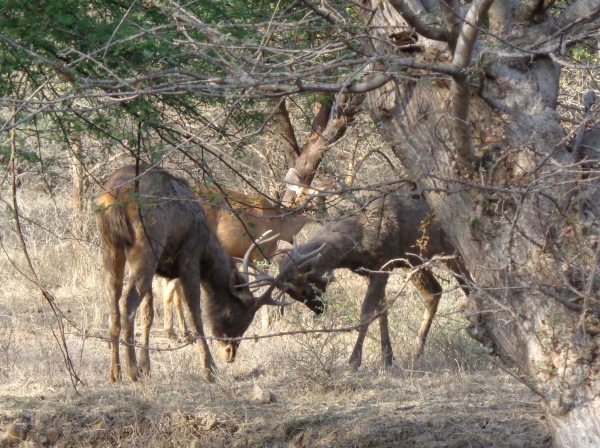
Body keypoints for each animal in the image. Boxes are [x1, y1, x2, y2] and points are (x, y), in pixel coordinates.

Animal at [163, 170, 338, 338]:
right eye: (318, 197)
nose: (327, 218)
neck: (280, 225)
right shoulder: (261, 254)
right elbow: (264, 286)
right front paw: (266, 324)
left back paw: (181, 331)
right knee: (173, 285)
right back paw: (175, 332)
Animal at [274, 194, 472, 370]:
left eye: (303, 290)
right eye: (294, 296)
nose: (319, 310)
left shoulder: (383, 264)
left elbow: (367, 312)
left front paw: (354, 362)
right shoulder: (370, 272)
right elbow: (381, 310)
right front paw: (387, 358)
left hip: (451, 251)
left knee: (469, 286)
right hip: (413, 262)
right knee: (434, 291)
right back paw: (416, 353)